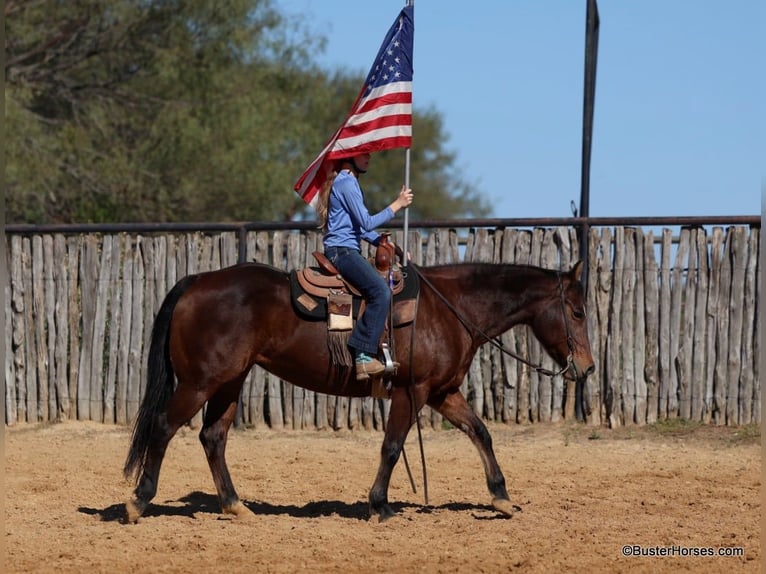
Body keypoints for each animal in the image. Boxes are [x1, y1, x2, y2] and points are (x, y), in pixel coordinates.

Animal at [123, 259, 595, 523]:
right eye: (577, 311)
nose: (587, 367)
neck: (450, 308)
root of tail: (196, 281)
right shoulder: (412, 391)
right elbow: (392, 446)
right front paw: (380, 505)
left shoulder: (443, 392)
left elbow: (480, 432)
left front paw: (501, 498)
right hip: (200, 382)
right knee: (163, 427)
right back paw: (138, 502)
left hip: (229, 382)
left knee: (213, 437)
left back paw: (235, 506)